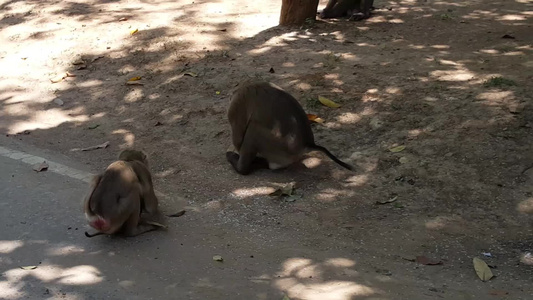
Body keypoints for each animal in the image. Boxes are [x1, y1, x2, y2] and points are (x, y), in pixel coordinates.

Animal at [225, 81, 354, 176]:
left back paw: (241, 166)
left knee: (253, 128)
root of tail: (307, 143)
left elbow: (238, 140)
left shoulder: (237, 104)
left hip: (279, 146)